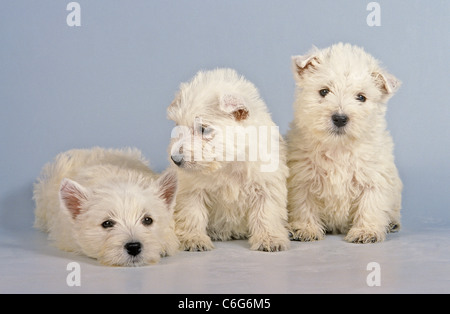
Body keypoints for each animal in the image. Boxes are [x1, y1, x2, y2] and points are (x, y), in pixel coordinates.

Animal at [167, 68, 290, 253]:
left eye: (203, 129)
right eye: (177, 125)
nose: (175, 159)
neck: (228, 162)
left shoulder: (266, 186)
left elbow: (265, 213)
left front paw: (270, 239)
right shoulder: (192, 189)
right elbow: (192, 213)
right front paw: (194, 239)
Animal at [286, 42, 402, 243]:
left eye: (361, 97)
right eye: (324, 91)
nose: (340, 118)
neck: (338, 147)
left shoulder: (373, 178)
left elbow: (370, 205)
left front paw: (366, 231)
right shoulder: (303, 178)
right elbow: (304, 205)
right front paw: (305, 228)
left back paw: (391, 224)